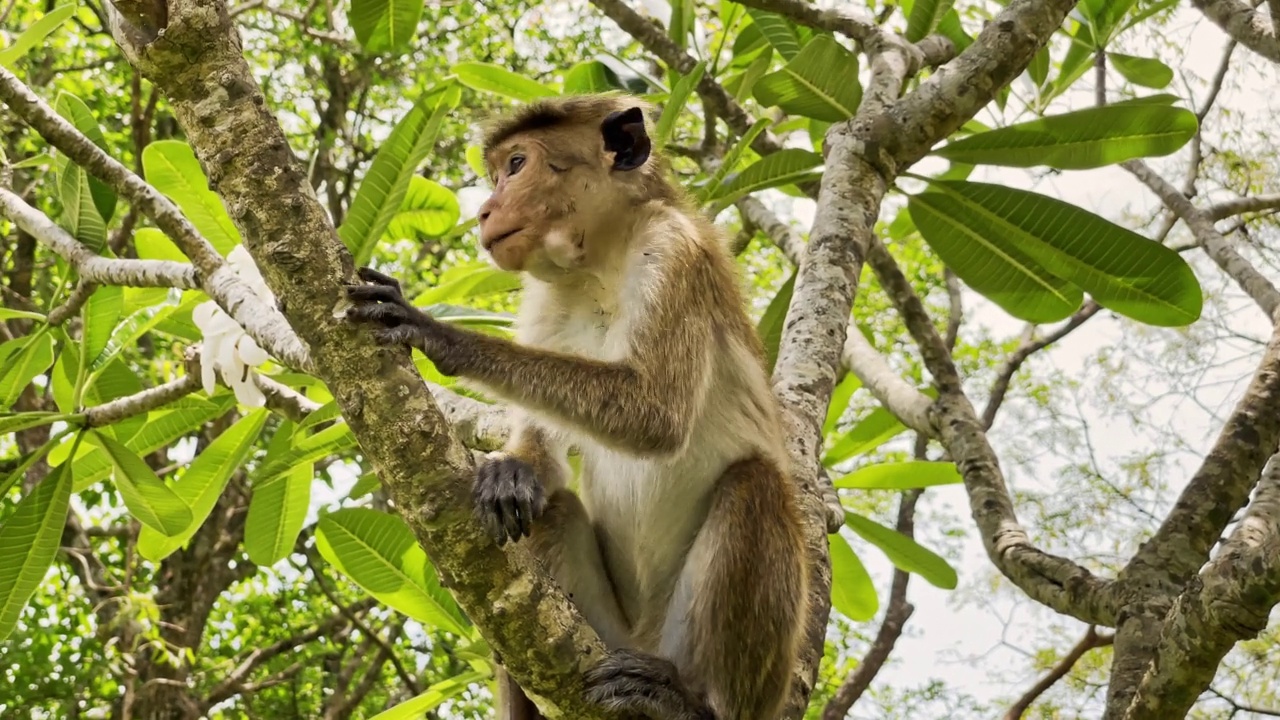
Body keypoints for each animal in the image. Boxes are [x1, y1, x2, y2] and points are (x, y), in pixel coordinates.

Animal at [348, 94, 808, 717]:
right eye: (497, 172)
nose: (485, 211)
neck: (598, 267)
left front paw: (439, 334)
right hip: (603, 638)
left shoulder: (674, 250)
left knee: (754, 484)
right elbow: (541, 455)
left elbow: (656, 414)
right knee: (553, 513)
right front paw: (512, 473)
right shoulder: (546, 296)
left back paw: (691, 702)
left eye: (516, 165)